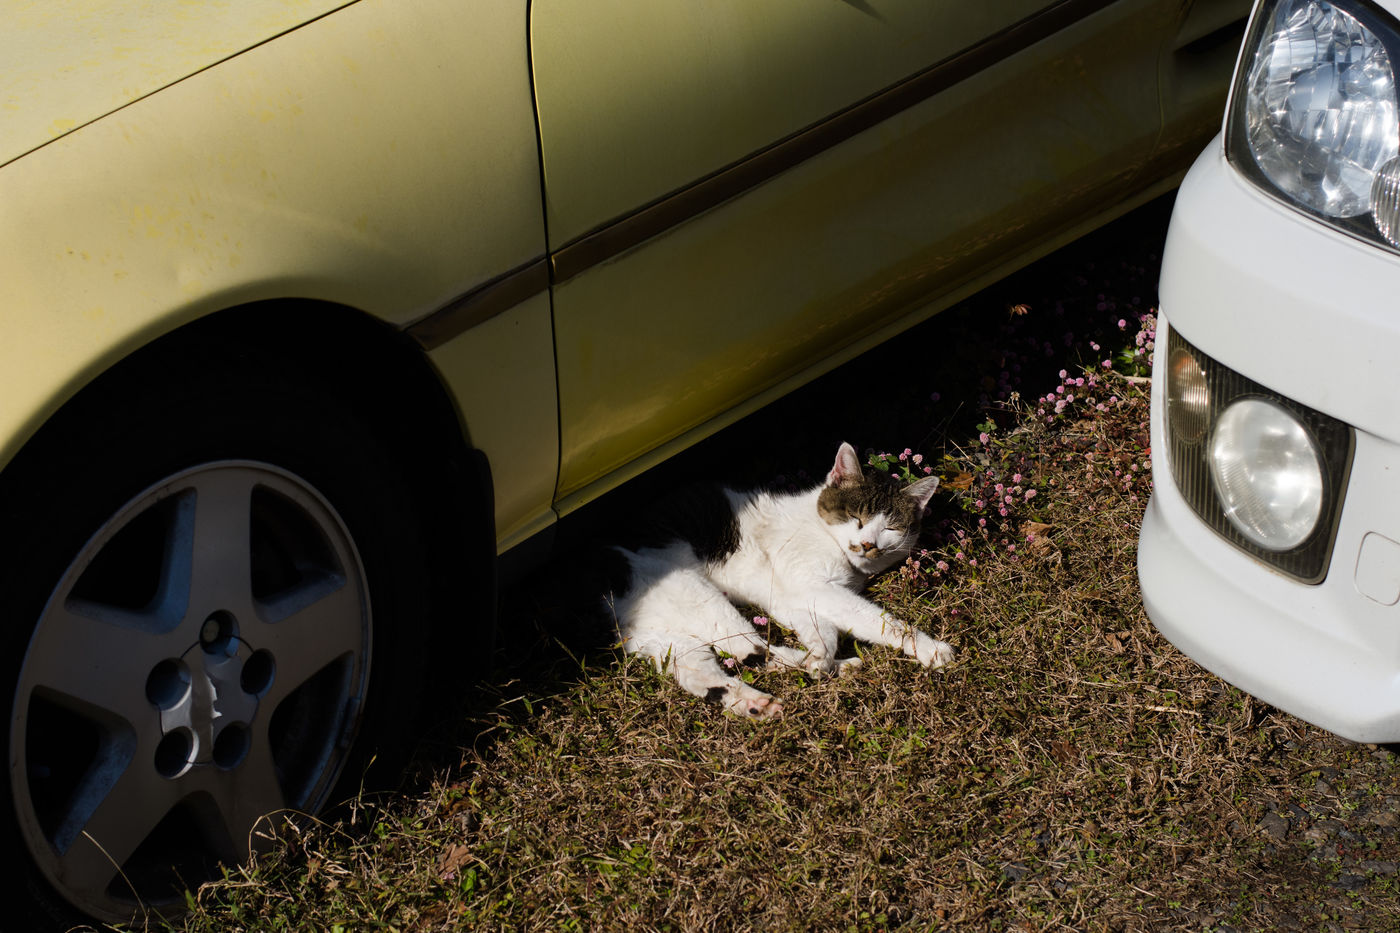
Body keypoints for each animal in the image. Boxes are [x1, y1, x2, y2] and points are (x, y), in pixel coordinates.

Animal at [606, 441, 955, 719]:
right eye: (856, 517)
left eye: (891, 528)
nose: (868, 544)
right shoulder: (813, 586)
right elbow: (879, 622)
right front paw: (931, 649)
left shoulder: (792, 598)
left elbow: (822, 631)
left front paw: (820, 658)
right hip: (693, 594)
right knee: (749, 650)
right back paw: (811, 669)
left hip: (667, 639)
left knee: (704, 673)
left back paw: (759, 701)